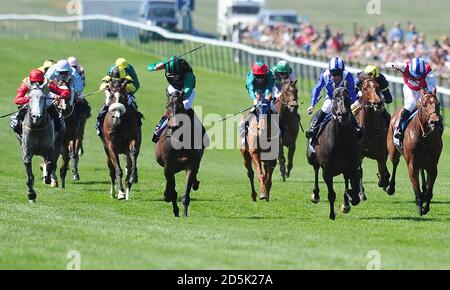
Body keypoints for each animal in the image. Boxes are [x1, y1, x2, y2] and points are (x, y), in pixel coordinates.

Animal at [306, 88, 362, 220]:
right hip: (311, 158)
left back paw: (346, 204)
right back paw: (315, 195)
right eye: (335, 98)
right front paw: (332, 215)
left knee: (346, 179)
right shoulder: (327, 171)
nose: (343, 115)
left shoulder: (352, 167)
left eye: (347, 98)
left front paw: (349, 197)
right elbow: (331, 194)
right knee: (315, 169)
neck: (340, 142)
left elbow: (354, 196)